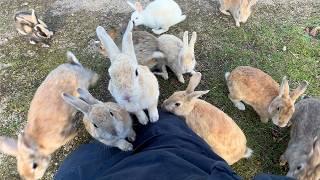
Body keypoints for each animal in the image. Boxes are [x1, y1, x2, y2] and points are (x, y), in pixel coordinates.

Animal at [0, 51, 99, 179]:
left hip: (82, 83)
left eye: (34, 165)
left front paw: (74, 132)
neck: (38, 144)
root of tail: (72, 66)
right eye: (21, 173)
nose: (33, 178)